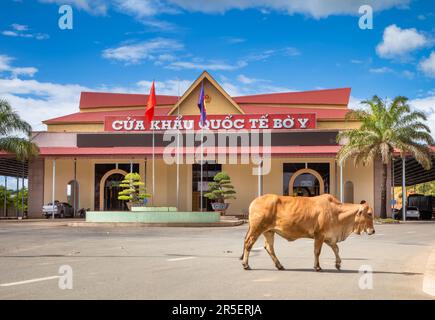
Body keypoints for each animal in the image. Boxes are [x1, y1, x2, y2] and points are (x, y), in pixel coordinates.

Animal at [242, 194, 374, 272]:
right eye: (369, 213)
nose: (373, 231)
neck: (337, 212)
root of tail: (254, 201)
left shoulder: (329, 237)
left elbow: (336, 249)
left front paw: (338, 264)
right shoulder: (319, 235)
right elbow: (317, 251)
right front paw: (317, 267)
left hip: (269, 231)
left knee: (269, 247)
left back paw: (279, 265)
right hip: (257, 229)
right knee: (248, 244)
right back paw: (246, 265)